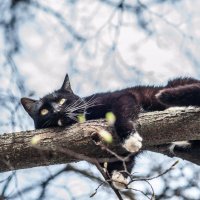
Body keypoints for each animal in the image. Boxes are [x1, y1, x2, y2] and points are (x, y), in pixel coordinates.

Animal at [21, 74, 200, 189]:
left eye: (62, 100)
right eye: (44, 111)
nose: (57, 110)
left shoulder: (121, 97)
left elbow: (121, 114)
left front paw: (130, 139)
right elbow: (124, 160)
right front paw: (120, 177)